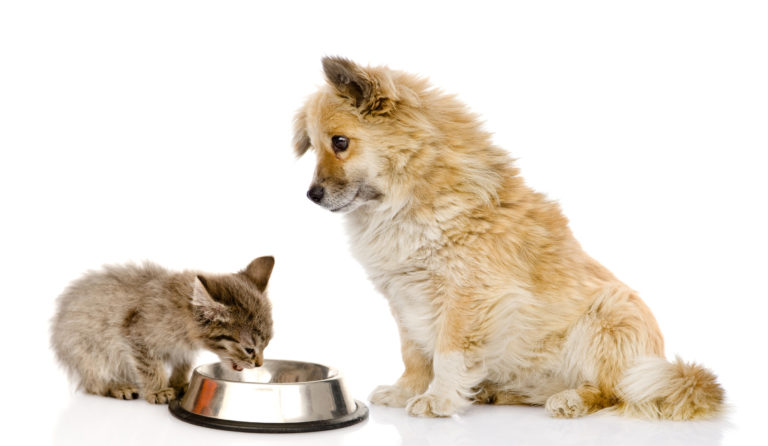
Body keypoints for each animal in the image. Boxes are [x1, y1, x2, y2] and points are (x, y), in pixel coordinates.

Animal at [51, 254, 274, 404]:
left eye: (267, 344)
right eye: (249, 349)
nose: (259, 364)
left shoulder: (183, 349)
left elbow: (182, 362)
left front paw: (179, 383)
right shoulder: (134, 333)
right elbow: (149, 366)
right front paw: (158, 390)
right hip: (87, 351)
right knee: (93, 383)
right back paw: (116, 386)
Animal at [292, 57, 724, 420]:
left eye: (340, 143)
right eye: (313, 147)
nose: (311, 195)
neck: (412, 194)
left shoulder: (467, 295)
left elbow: (448, 352)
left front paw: (439, 398)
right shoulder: (404, 296)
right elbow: (414, 353)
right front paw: (408, 390)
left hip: (608, 317)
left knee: (614, 391)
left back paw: (571, 399)